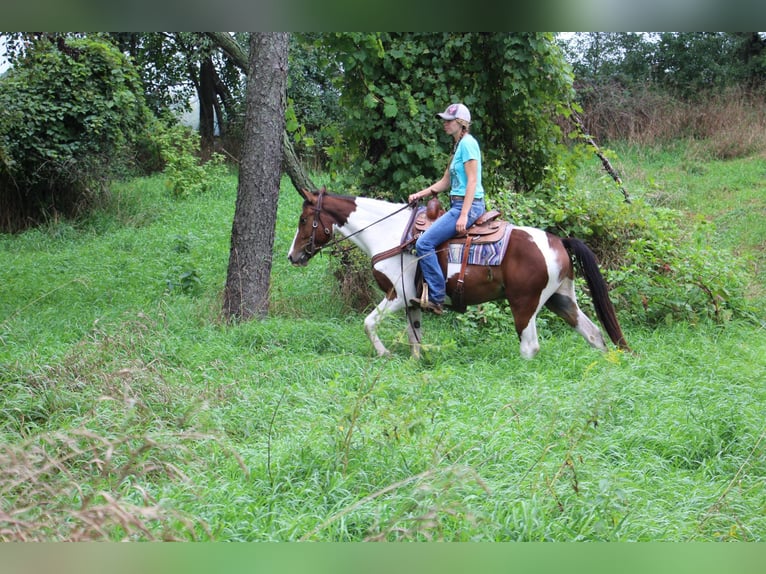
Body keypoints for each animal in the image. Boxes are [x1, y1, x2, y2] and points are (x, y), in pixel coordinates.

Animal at [288, 189, 632, 360]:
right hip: (560, 299)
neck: (389, 234)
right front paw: (417, 363)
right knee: (594, 334)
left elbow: (368, 323)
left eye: (304, 219)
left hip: (525, 304)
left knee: (530, 347)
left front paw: (384, 354)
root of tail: (558, 240)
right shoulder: (412, 302)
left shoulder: (396, 295)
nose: (293, 256)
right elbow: (415, 338)